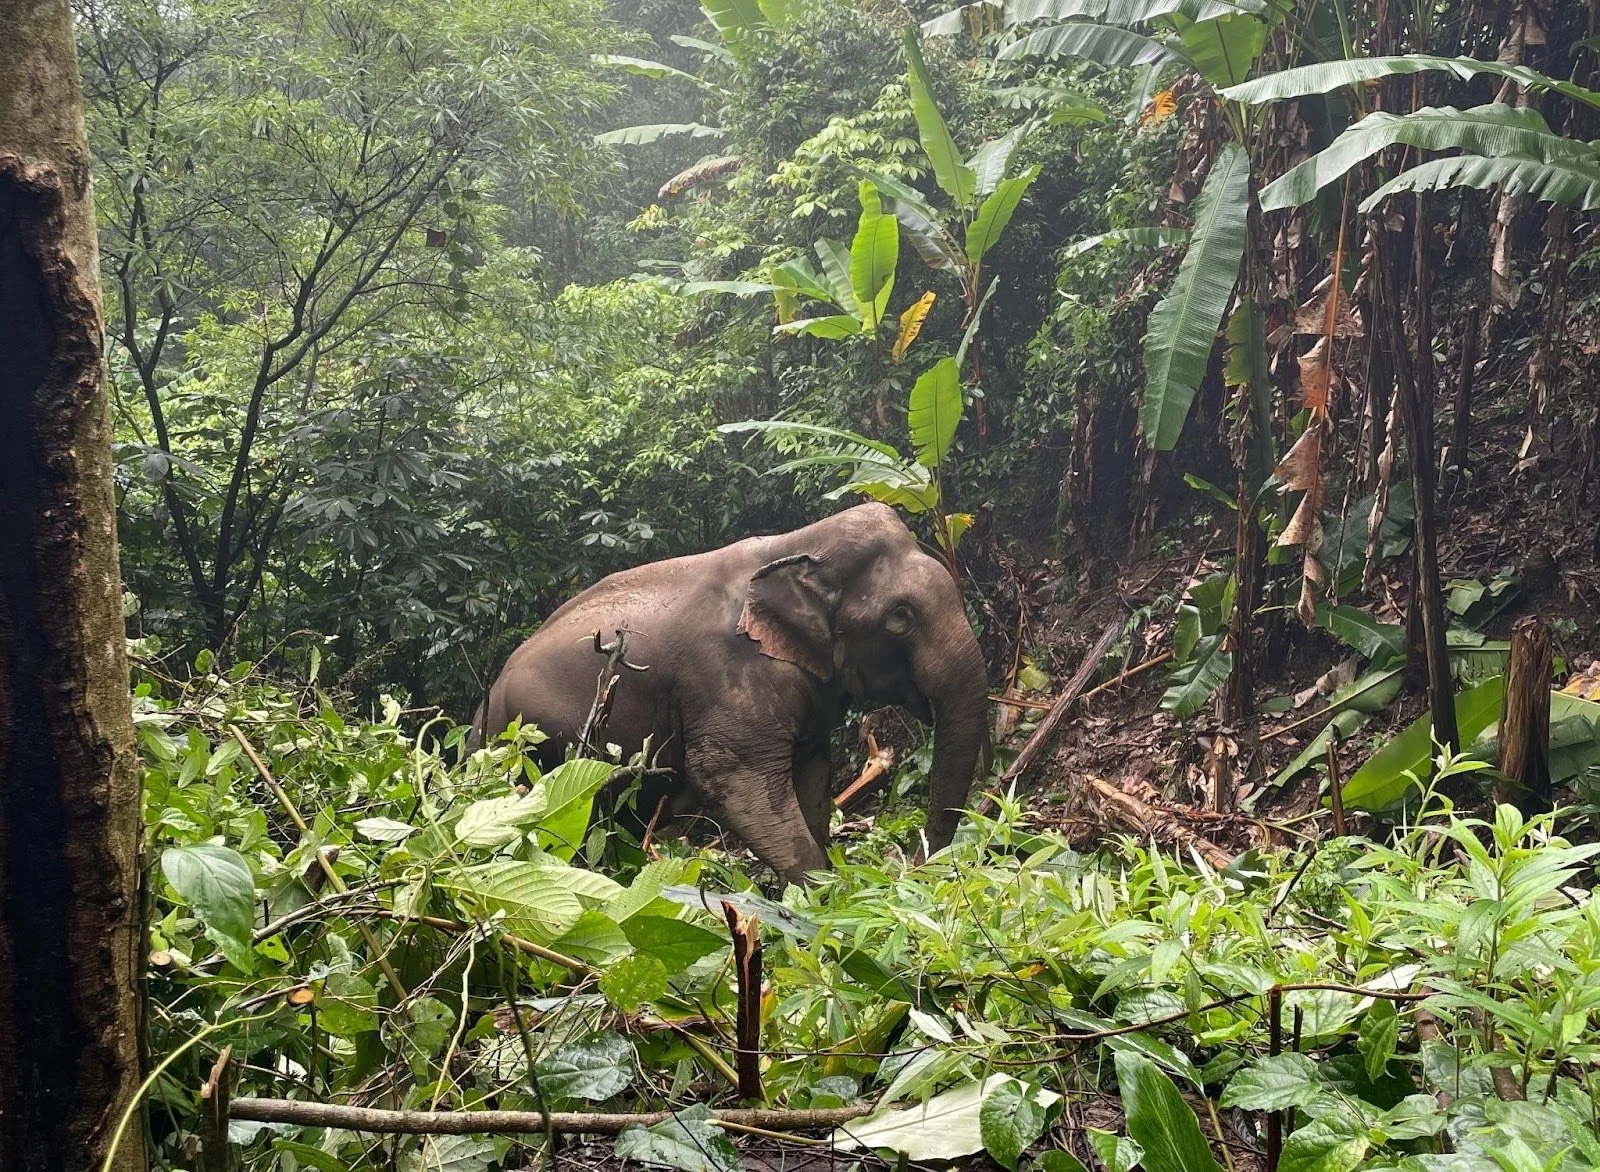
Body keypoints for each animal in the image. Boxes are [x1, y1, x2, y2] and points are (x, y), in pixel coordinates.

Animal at [473, 503, 991, 884]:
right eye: (900, 616)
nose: (919, 867)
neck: (796, 543)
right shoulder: (727, 674)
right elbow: (730, 777)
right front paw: (816, 900)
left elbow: (811, 772)